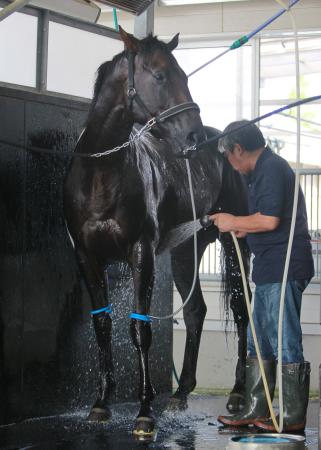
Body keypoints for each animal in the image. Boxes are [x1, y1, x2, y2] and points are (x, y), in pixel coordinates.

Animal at [63, 27, 250, 436]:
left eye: (184, 76)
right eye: (161, 75)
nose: (193, 136)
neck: (102, 172)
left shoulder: (141, 252)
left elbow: (140, 329)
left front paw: (145, 411)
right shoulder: (87, 256)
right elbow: (102, 324)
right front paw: (101, 404)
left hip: (234, 243)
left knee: (242, 311)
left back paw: (238, 394)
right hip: (186, 250)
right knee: (195, 310)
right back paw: (180, 394)